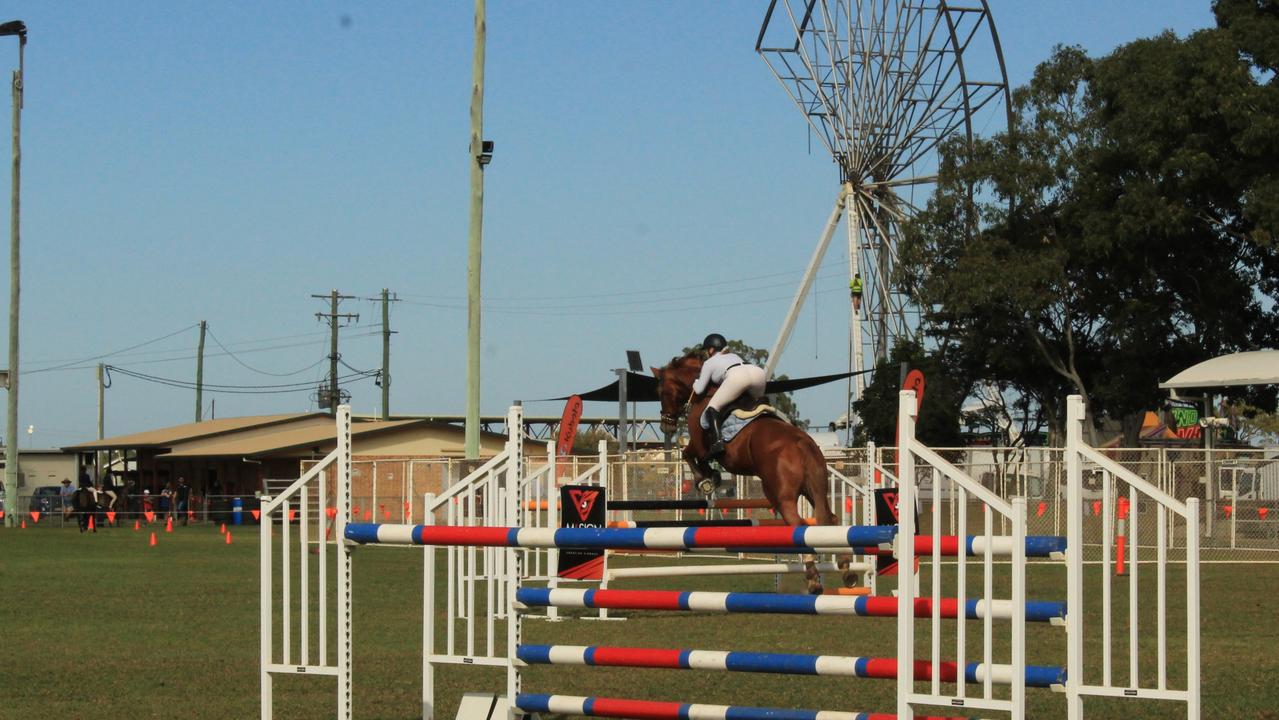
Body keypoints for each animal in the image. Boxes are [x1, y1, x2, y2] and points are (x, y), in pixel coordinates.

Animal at [654, 352, 854, 593]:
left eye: (661, 391)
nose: (666, 426)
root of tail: (803, 443)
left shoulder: (700, 445)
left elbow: (688, 454)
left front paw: (706, 480)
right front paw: (712, 477)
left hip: (782, 497)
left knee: (799, 526)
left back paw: (813, 579)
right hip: (814, 490)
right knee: (829, 519)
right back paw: (846, 570)